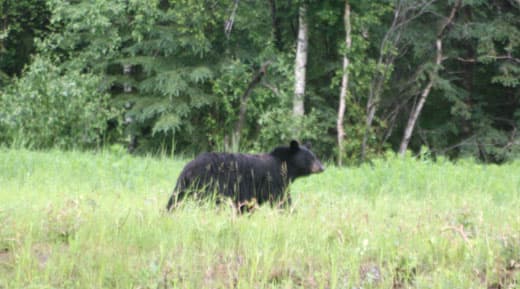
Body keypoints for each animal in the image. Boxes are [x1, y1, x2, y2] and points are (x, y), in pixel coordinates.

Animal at [167, 140, 322, 210]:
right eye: (310, 158)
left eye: (315, 156)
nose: (322, 167)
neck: (285, 165)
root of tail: (188, 167)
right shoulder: (274, 180)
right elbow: (281, 199)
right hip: (210, 185)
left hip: (185, 186)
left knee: (174, 199)